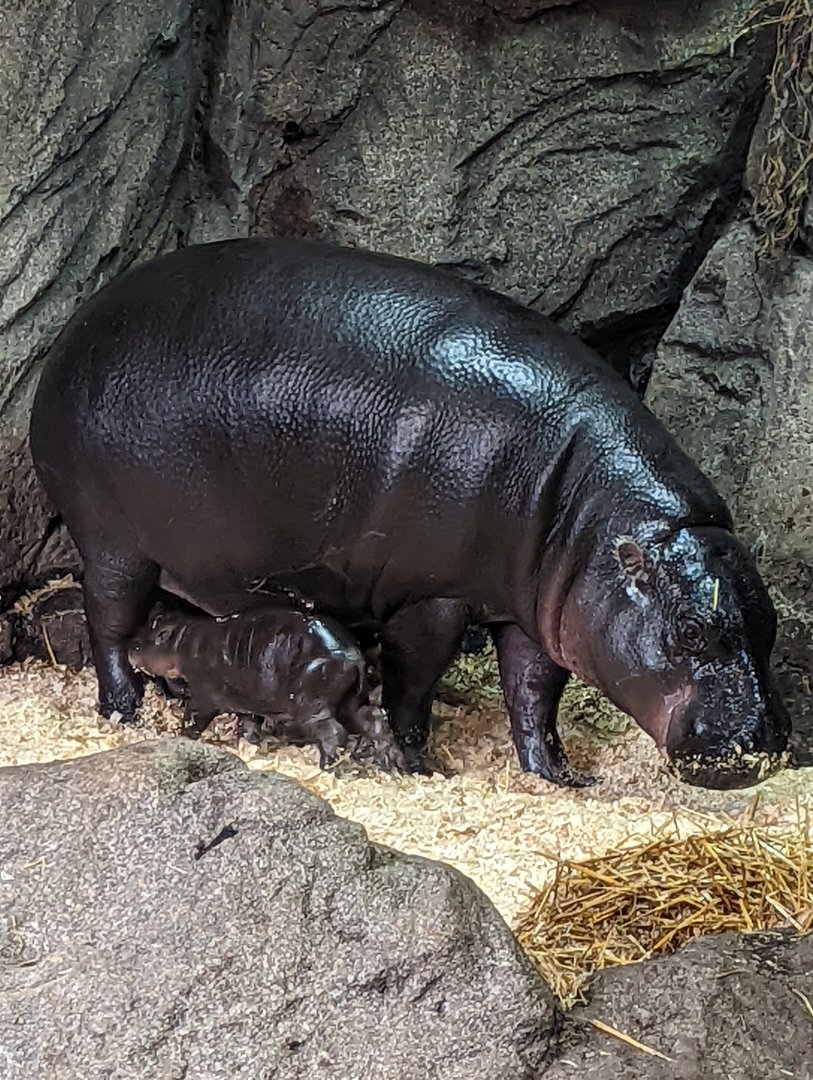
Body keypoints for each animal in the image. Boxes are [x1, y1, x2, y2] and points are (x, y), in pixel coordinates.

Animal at [128, 602, 403, 771]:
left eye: (146, 640)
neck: (184, 641)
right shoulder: (245, 700)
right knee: (374, 719)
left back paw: (328, 767)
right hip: (349, 701)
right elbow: (248, 724)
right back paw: (388, 764)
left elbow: (193, 719)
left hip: (311, 704)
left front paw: (180, 738)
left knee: (334, 732)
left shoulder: (203, 696)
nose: (130, 649)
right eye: (142, 626)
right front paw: (251, 745)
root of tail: (351, 656)